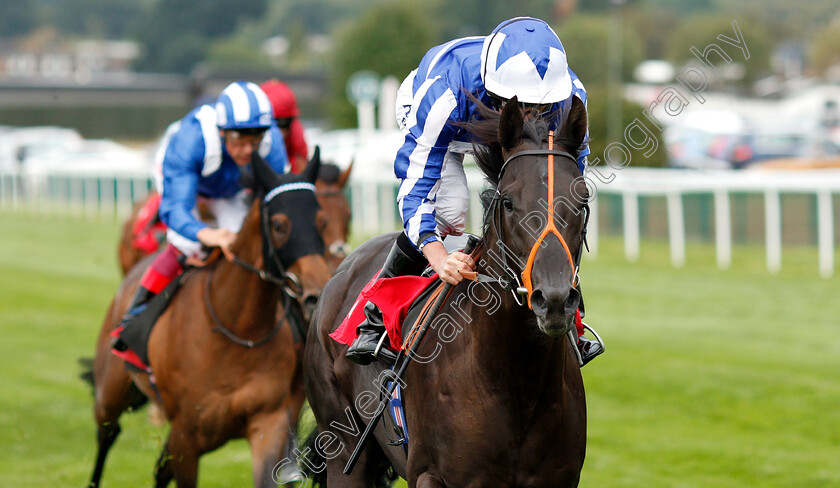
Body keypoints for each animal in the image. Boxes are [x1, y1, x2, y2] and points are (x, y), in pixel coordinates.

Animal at [87, 153, 332, 488]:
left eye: (322, 222)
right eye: (280, 225)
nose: (315, 294)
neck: (237, 331)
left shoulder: (269, 423)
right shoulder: (186, 436)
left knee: (158, 467)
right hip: (111, 392)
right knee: (107, 433)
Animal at [302, 96, 592, 488]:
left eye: (583, 200)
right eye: (509, 202)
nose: (555, 300)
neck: (516, 380)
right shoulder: (431, 474)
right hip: (344, 447)